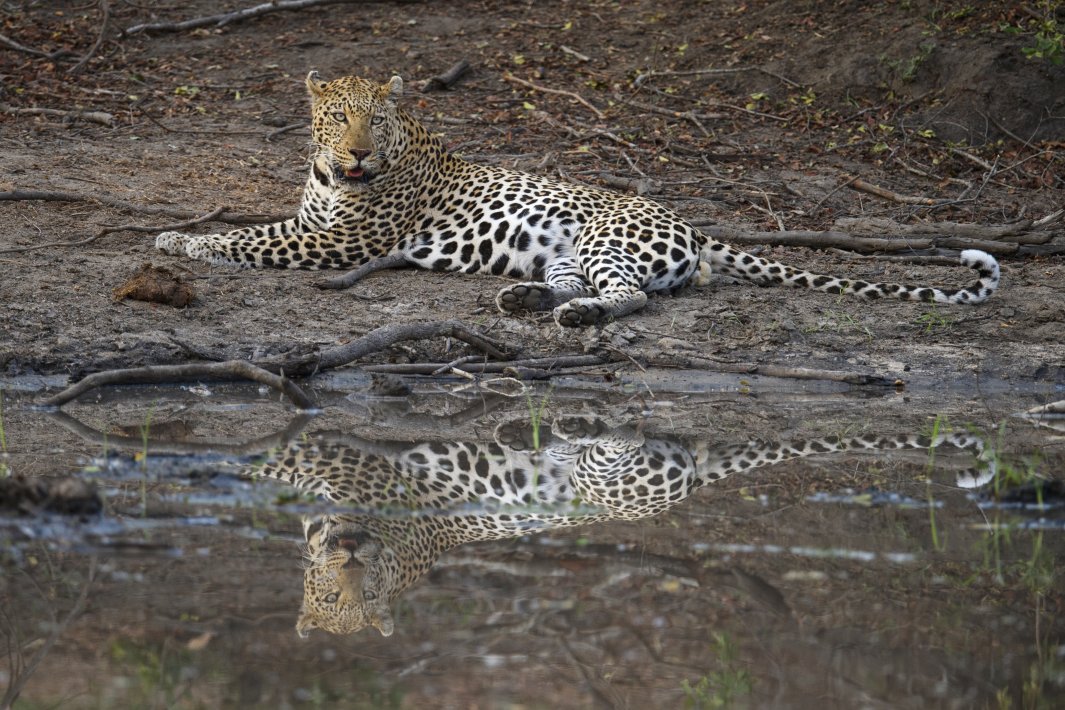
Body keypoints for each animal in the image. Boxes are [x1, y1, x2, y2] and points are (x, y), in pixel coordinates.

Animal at [156, 72, 1001, 327]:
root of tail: (690, 223)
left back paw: (580, 317)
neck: (333, 176)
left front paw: (178, 242)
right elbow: (253, 222)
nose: (358, 150)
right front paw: (180, 235)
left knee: (637, 298)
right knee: (581, 286)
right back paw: (529, 303)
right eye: (337, 117)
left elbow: (248, 238)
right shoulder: (314, 222)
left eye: (376, 119)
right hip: (563, 253)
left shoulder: (337, 241)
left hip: (603, 239)